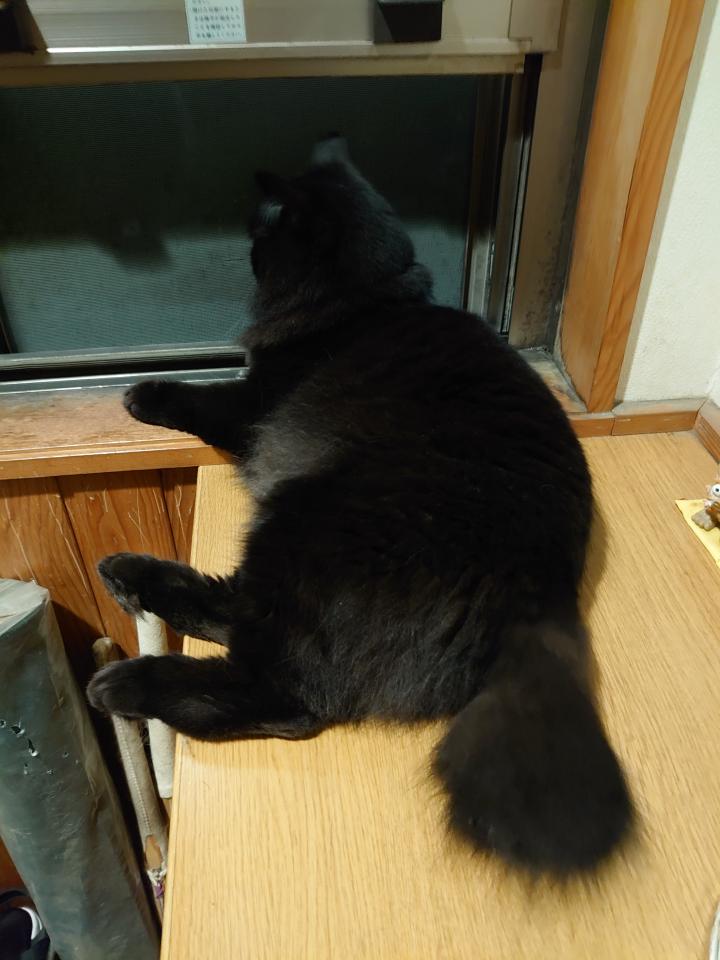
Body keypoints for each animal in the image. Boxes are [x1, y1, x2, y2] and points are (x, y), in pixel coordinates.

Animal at [87, 135, 632, 875]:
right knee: (237, 622)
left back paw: (124, 682)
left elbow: (200, 398)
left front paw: (143, 394)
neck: (367, 298)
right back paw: (127, 578)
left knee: (281, 696)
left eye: (263, 236)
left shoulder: (256, 403)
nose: (246, 252)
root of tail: (540, 589)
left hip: (302, 520)